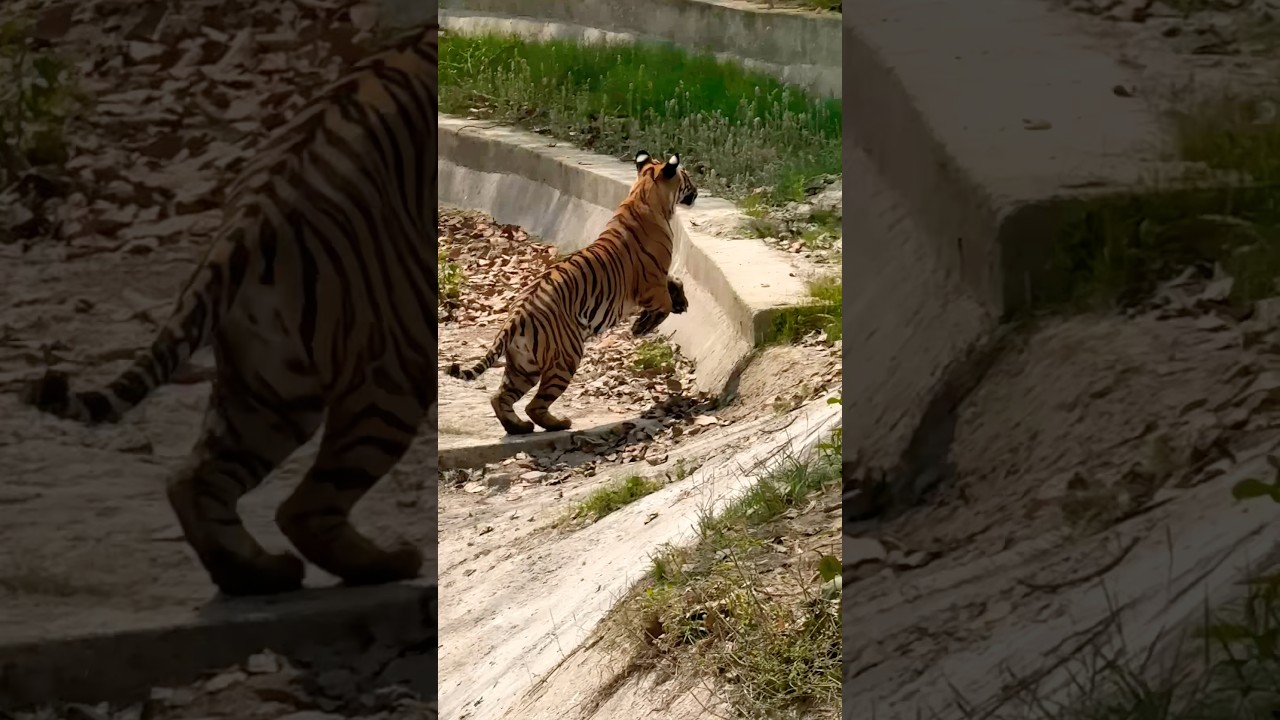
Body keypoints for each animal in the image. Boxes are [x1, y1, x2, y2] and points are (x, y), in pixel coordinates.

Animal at [21, 23, 439, 597]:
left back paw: (256, 573)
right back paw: (389, 563)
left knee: (197, 481)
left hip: (269, 391)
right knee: (304, 506)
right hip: (391, 371)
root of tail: (255, 211)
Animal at [445, 151, 696, 435]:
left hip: (523, 367)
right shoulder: (651, 285)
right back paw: (559, 423)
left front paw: (680, 301)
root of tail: (516, 316)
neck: (643, 193)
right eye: (687, 178)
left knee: (500, 398)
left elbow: (676, 281)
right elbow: (663, 305)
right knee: (534, 405)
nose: (696, 191)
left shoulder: (659, 279)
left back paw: (519, 427)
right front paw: (641, 327)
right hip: (566, 357)